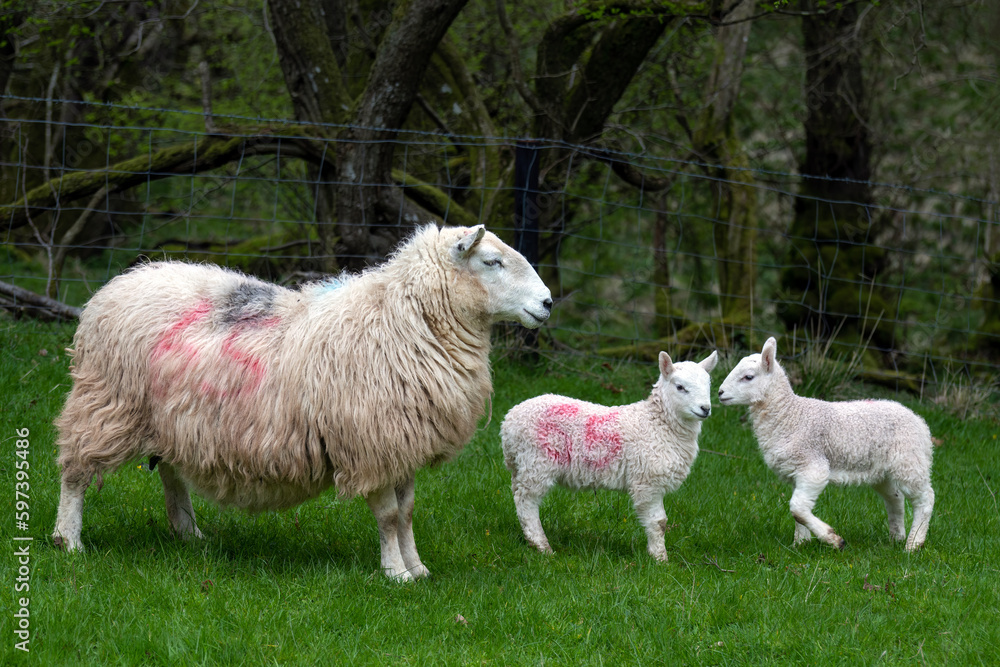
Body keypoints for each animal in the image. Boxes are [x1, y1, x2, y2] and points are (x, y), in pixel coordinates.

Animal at [52, 224, 553, 581]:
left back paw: (189, 533)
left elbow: (408, 514)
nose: (547, 303)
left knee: (172, 472)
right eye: (491, 261)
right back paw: (68, 540)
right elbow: (390, 516)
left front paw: (419, 568)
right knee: (75, 472)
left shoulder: (402, 442)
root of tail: (119, 283)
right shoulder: (371, 442)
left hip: (174, 416)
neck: (403, 319)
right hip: (108, 404)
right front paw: (396, 574)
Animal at [500, 350, 718, 561]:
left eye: (708, 385)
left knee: (517, 492)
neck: (658, 423)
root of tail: (508, 422)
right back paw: (542, 546)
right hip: (537, 460)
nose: (705, 409)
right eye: (680, 387)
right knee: (526, 501)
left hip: (522, 463)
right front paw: (660, 559)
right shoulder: (648, 481)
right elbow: (659, 522)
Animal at [717, 337, 934, 552]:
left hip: (909, 461)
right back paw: (897, 537)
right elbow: (799, 511)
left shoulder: (813, 466)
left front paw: (833, 540)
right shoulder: (796, 471)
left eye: (748, 377)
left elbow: (797, 508)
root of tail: (920, 422)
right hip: (882, 471)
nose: (720, 392)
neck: (790, 415)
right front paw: (800, 543)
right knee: (895, 498)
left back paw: (914, 544)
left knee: (925, 498)